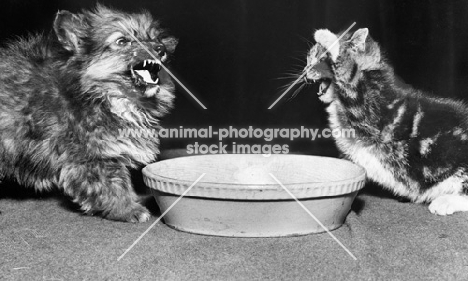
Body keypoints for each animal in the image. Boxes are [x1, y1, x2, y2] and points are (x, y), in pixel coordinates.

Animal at [0, 3, 178, 221]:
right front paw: (128, 209)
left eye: (155, 38)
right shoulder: (92, 156)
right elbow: (112, 185)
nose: (161, 48)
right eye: (122, 41)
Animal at [302, 27, 468, 214]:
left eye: (322, 59)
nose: (306, 70)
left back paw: (446, 201)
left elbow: (348, 74)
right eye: (309, 58)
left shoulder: (370, 110)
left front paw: (327, 38)